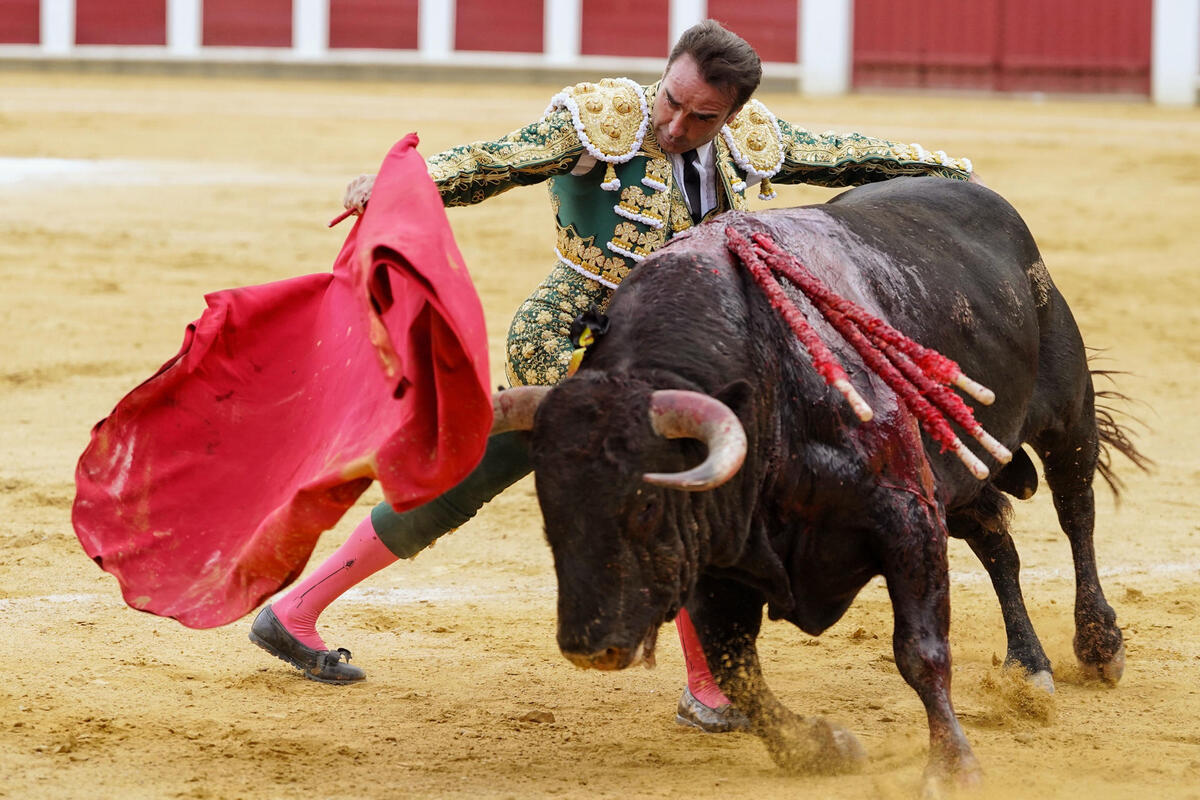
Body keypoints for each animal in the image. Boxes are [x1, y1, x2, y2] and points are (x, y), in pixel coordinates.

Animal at [489, 178, 1142, 791]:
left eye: (646, 508)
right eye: (550, 516)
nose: (588, 646)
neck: (769, 377)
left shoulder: (907, 516)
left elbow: (921, 650)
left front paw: (952, 768)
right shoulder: (720, 550)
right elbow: (736, 668)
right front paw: (819, 749)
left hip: (1067, 414)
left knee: (1076, 511)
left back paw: (1099, 644)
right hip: (960, 470)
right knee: (997, 544)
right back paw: (1028, 666)